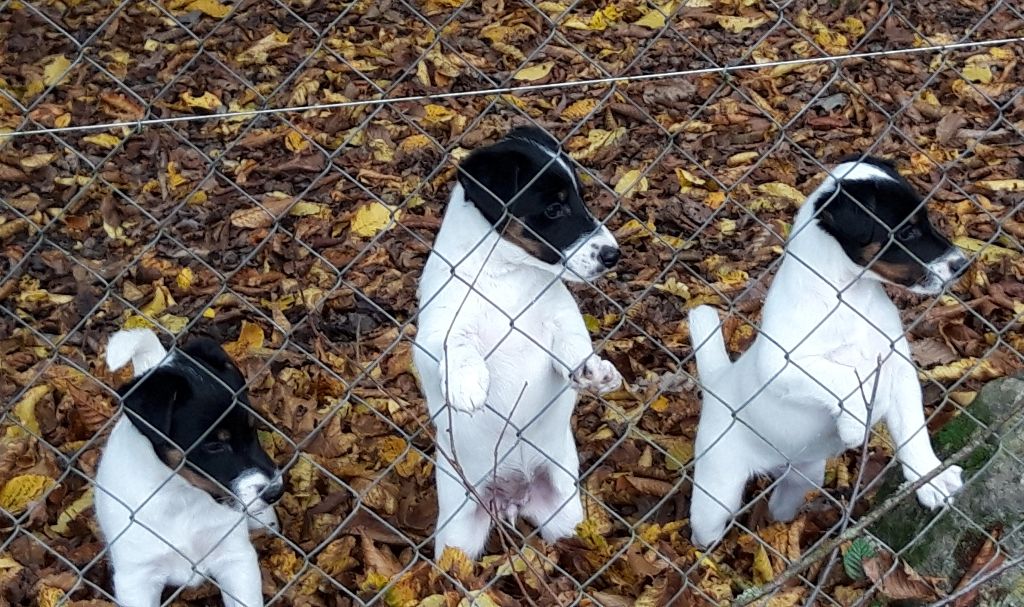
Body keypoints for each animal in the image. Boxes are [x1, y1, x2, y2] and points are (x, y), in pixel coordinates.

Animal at [96, 329, 284, 601]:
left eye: (253, 429)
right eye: (214, 445)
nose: (276, 492)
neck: (180, 497)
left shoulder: (235, 558)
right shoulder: (137, 578)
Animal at [415, 126, 622, 556]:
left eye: (580, 197)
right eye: (553, 209)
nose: (614, 255)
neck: (505, 275)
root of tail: (513, 497)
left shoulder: (560, 318)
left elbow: (574, 347)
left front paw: (595, 372)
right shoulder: (435, 330)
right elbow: (455, 345)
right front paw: (467, 382)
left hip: (564, 514)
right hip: (458, 537)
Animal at [688, 154, 966, 544]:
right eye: (905, 233)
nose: (962, 264)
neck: (848, 298)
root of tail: (718, 381)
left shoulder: (898, 367)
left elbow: (914, 432)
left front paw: (931, 479)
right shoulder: (782, 366)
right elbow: (845, 374)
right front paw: (854, 423)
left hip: (805, 474)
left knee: (782, 503)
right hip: (716, 498)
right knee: (706, 529)